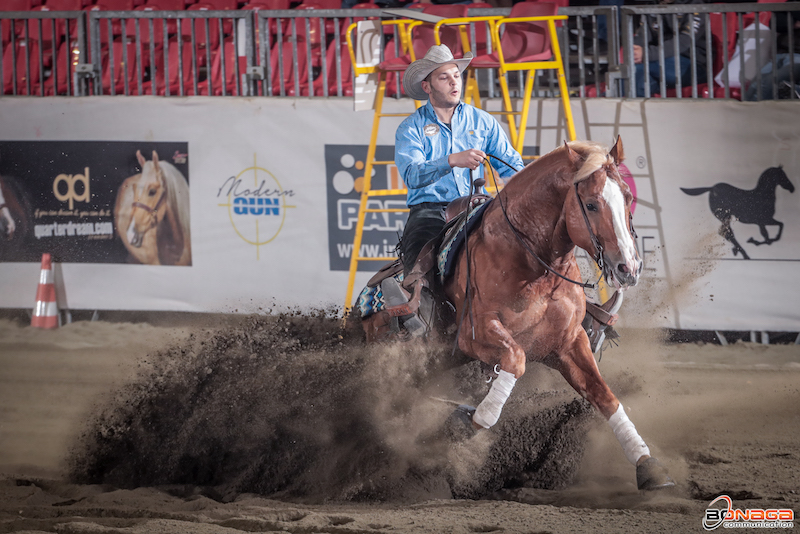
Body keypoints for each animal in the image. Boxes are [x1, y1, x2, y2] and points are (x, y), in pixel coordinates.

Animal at [424, 140, 668, 492]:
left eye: (627, 196)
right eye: (591, 204)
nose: (629, 268)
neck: (533, 264)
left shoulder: (567, 344)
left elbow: (604, 395)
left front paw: (647, 463)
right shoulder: (474, 334)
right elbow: (515, 361)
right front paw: (467, 421)